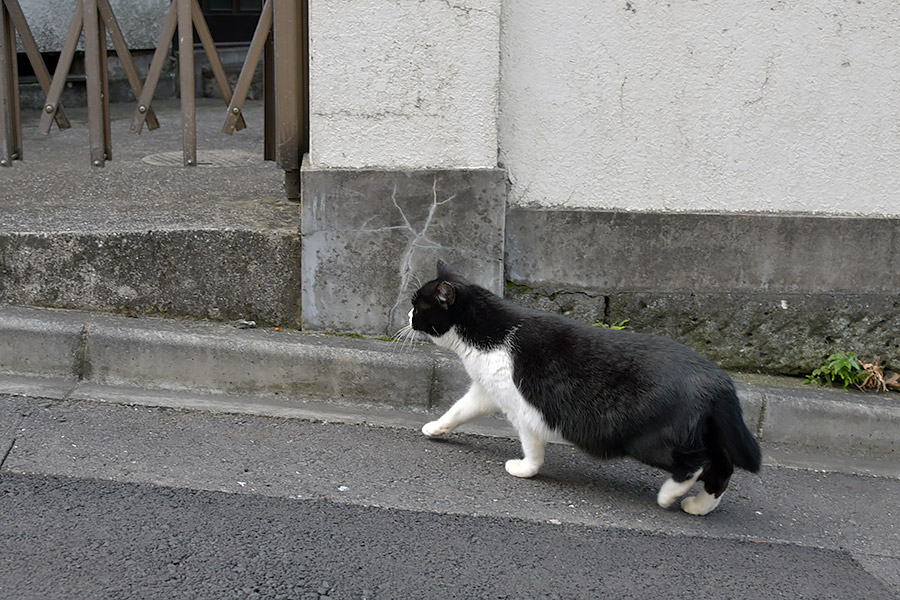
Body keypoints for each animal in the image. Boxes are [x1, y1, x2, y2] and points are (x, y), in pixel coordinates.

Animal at [404, 258, 764, 516]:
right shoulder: (487, 391)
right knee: (722, 466)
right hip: (704, 430)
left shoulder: (524, 409)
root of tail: (718, 379)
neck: (486, 334)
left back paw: (668, 496)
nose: (407, 316)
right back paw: (699, 507)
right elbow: (459, 409)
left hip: (649, 439)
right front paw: (435, 428)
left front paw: (525, 470)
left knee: (696, 464)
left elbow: (532, 445)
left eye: (418, 305)